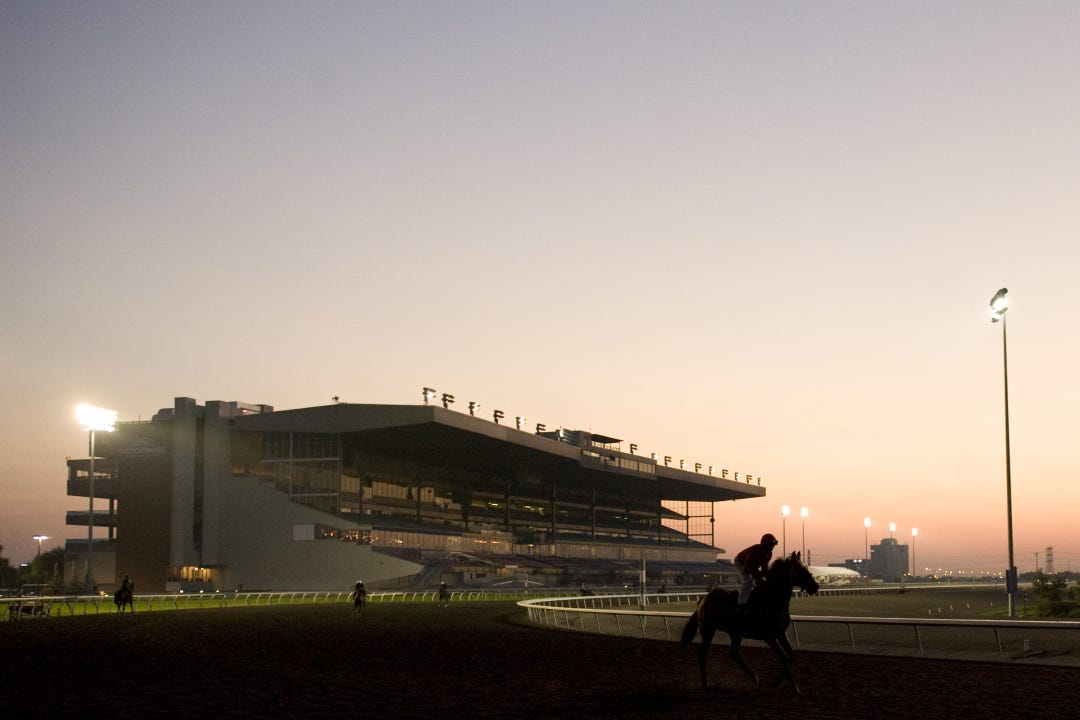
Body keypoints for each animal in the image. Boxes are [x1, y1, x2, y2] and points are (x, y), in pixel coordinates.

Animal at [680, 551, 819, 694]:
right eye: (800, 569)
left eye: (806, 567)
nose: (815, 586)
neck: (772, 600)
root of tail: (704, 598)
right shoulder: (769, 637)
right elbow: (784, 659)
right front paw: (794, 688)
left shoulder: (781, 633)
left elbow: (791, 655)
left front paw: (778, 682)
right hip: (708, 630)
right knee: (702, 656)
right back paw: (705, 687)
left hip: (736, 632)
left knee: (734, 653)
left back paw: (754, 677)